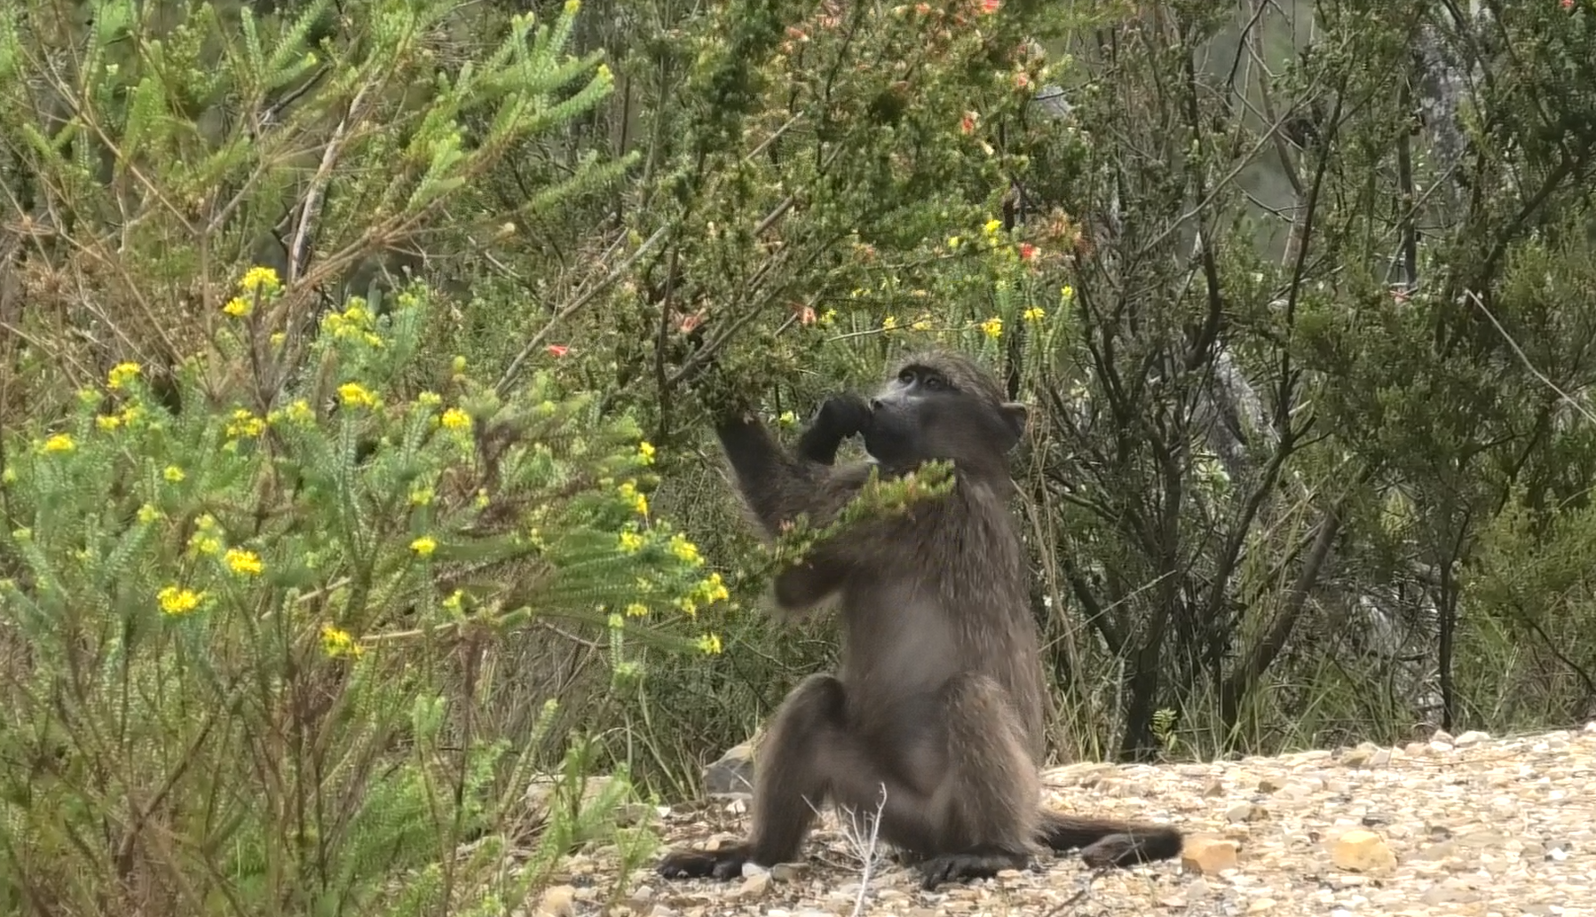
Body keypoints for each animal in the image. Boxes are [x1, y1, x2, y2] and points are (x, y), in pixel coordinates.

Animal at [658, 350, 1183, 890]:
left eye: (933, 384)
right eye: (905, 377)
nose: (881, 403)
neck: (962, 466)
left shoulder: (915, 497)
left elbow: (792, 517)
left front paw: (703, 358)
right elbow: (795, 582)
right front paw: (829, 424)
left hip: (948, 811)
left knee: (970, 696)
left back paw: (995, 852)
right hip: (890, 807)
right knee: (815, 698)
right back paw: (756, 852)